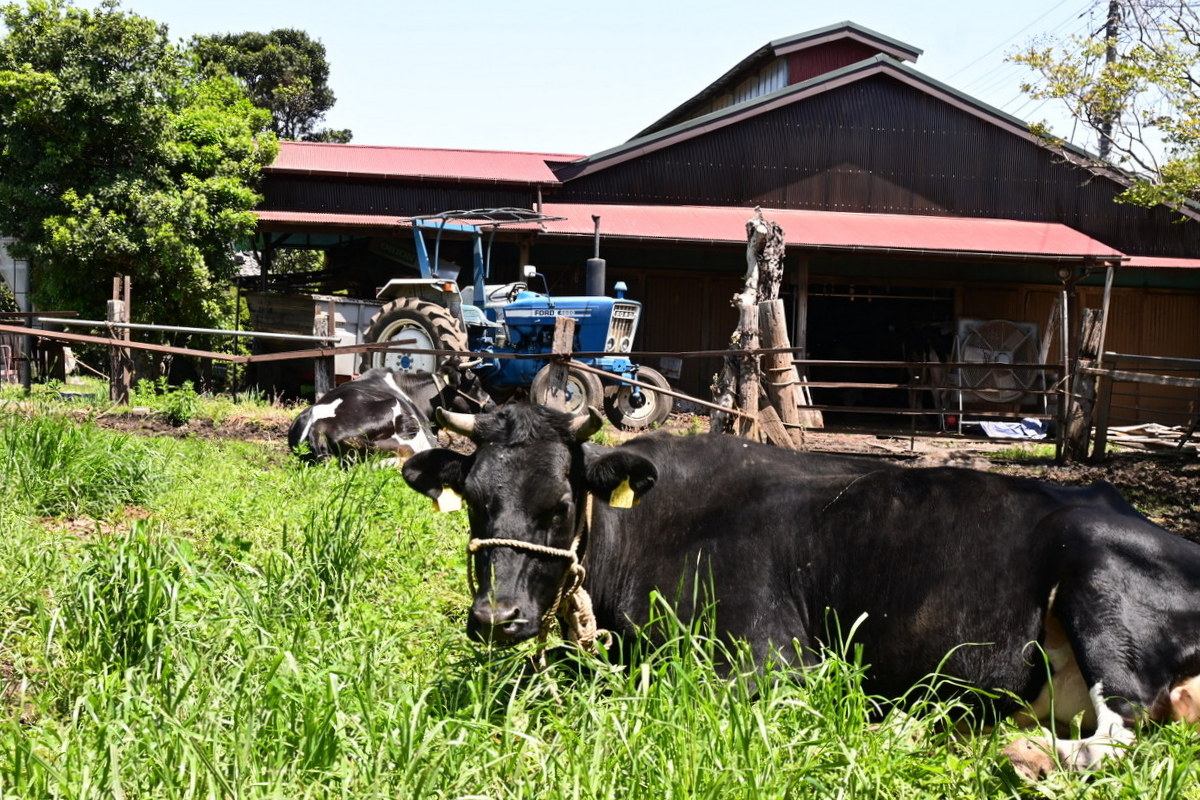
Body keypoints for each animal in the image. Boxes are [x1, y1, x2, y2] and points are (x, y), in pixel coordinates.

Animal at [400, 402, 1200, 777]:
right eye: (474, 500)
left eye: (560, 505)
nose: (496, 616)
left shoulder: (768, 659)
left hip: (1098, 582)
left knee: (1122, 725)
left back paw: (1017, 752)